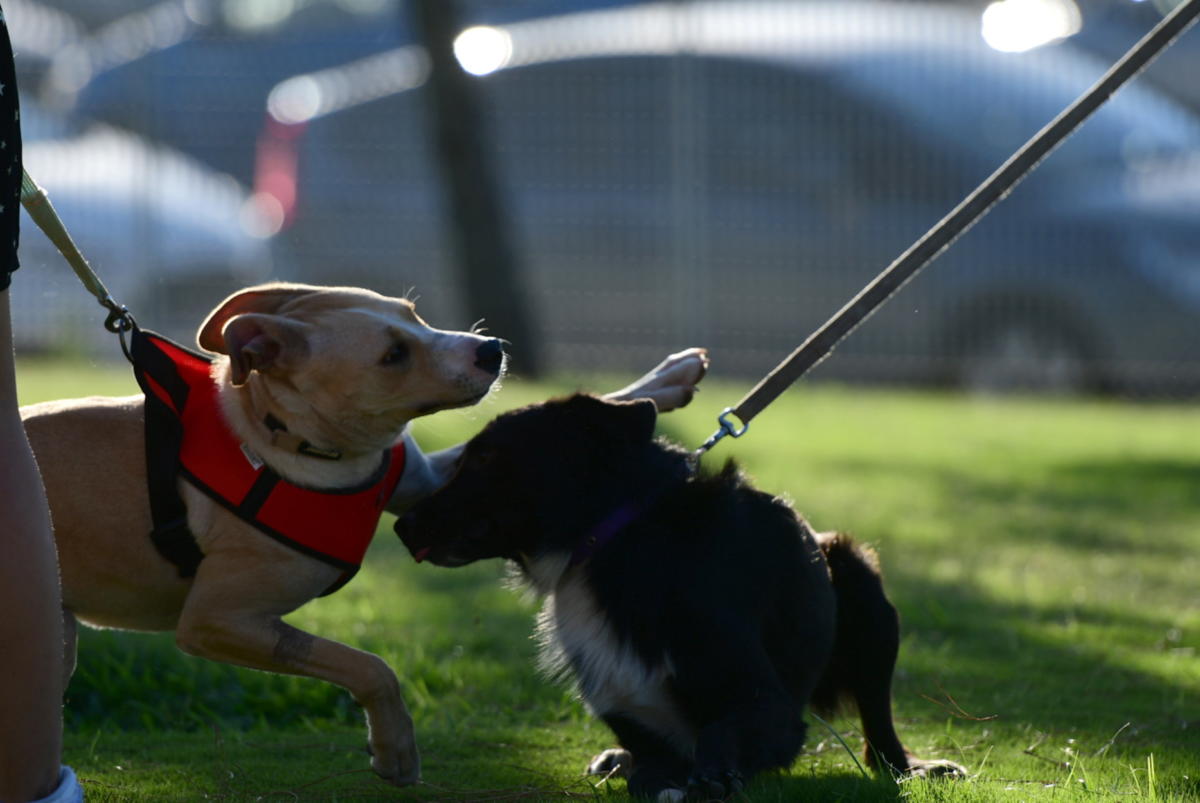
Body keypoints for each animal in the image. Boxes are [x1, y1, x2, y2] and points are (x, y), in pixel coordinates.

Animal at [18, 280, 705, 782]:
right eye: (392, 355)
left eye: (414, 314)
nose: (492, 348)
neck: (288, 442)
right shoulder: (217, 621)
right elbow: (369, 665)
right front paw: (395, 748)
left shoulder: (419, 480)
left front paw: (666, 381)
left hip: (59, 640)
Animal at [396, 393, 964, 796]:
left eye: (485, 458)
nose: (401, 526)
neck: (614, 543)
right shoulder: (623, 703)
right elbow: (649, 758)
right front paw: (642, 768)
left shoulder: (772, 706)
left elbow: (721, 733)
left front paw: (712, 776)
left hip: (861, 580)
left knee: (880, 730)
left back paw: (915, 768)